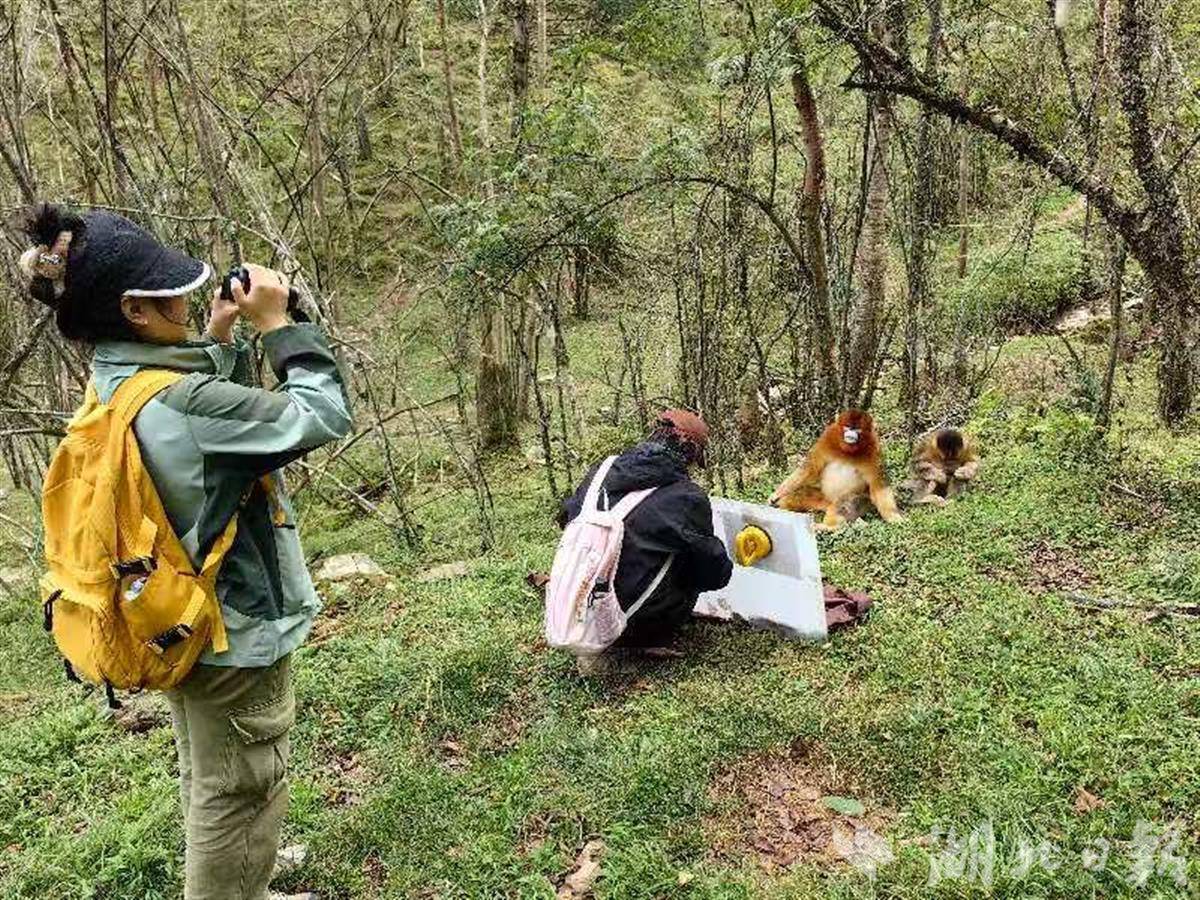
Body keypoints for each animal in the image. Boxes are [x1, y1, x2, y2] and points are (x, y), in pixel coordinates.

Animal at [767, 409, 903, 531]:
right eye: (848, 427)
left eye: (857, 429)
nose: (851, 434)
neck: (847, 450)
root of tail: (828, 504)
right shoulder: (828, 436)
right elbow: (810, 468)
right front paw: (776, 495)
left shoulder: (874, 448)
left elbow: (878, 485)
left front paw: (893, 517)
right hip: (822, 497)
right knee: (799, 493)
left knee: (844, 501)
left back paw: (829, 527)